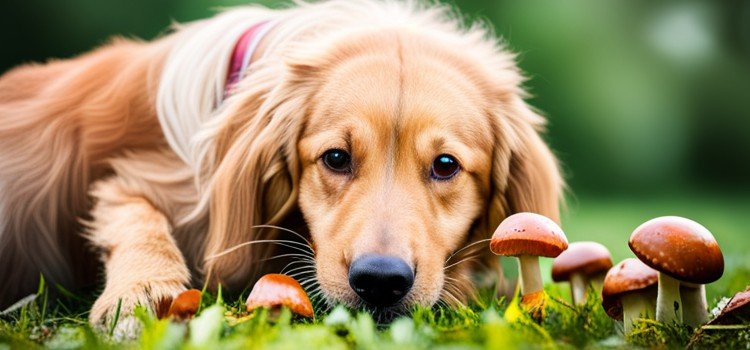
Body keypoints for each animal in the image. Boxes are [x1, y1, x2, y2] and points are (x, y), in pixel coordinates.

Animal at [0, 0, 564, 330]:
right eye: (335, 158)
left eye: (446, 165)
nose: (380, 282)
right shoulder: (137, 179)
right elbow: (135, 214)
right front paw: (142, 292)